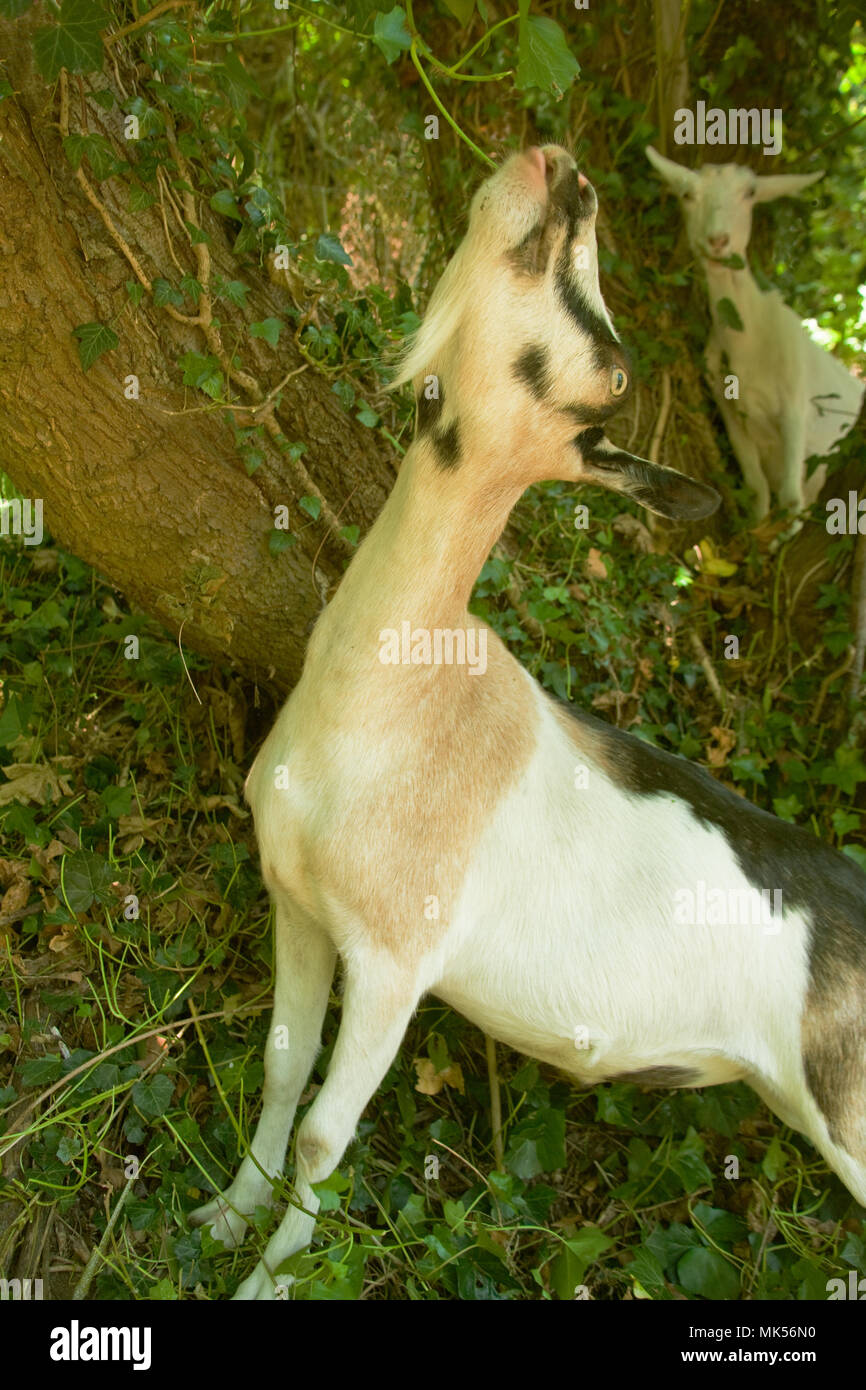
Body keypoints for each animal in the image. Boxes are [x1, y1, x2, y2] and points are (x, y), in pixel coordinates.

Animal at [647, 146, 861, 525]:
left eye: (750, 193)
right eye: (687, 195)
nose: (717, 241)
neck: (750, 343)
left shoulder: (795, 407)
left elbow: (790, 498)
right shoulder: (729, 409)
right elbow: (756, 489)